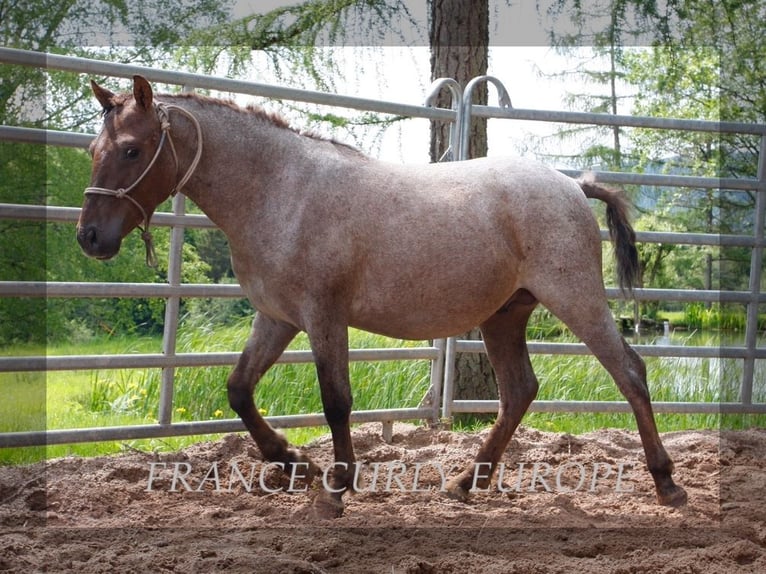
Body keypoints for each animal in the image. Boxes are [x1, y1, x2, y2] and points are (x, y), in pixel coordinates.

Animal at [78, 74, 688, 520]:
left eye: (131, 150)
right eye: (93, 148)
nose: (90, 237)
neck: (281, 191)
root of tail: (571, 185)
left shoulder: (323, 316)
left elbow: (336, 401)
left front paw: (335, 487)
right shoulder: (276, 318)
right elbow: (238, 390)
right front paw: (291, 462)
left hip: (576, 299)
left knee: (629, 372)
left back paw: (666, 484)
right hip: (504, 316)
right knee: (519, 392)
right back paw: (466, 482)